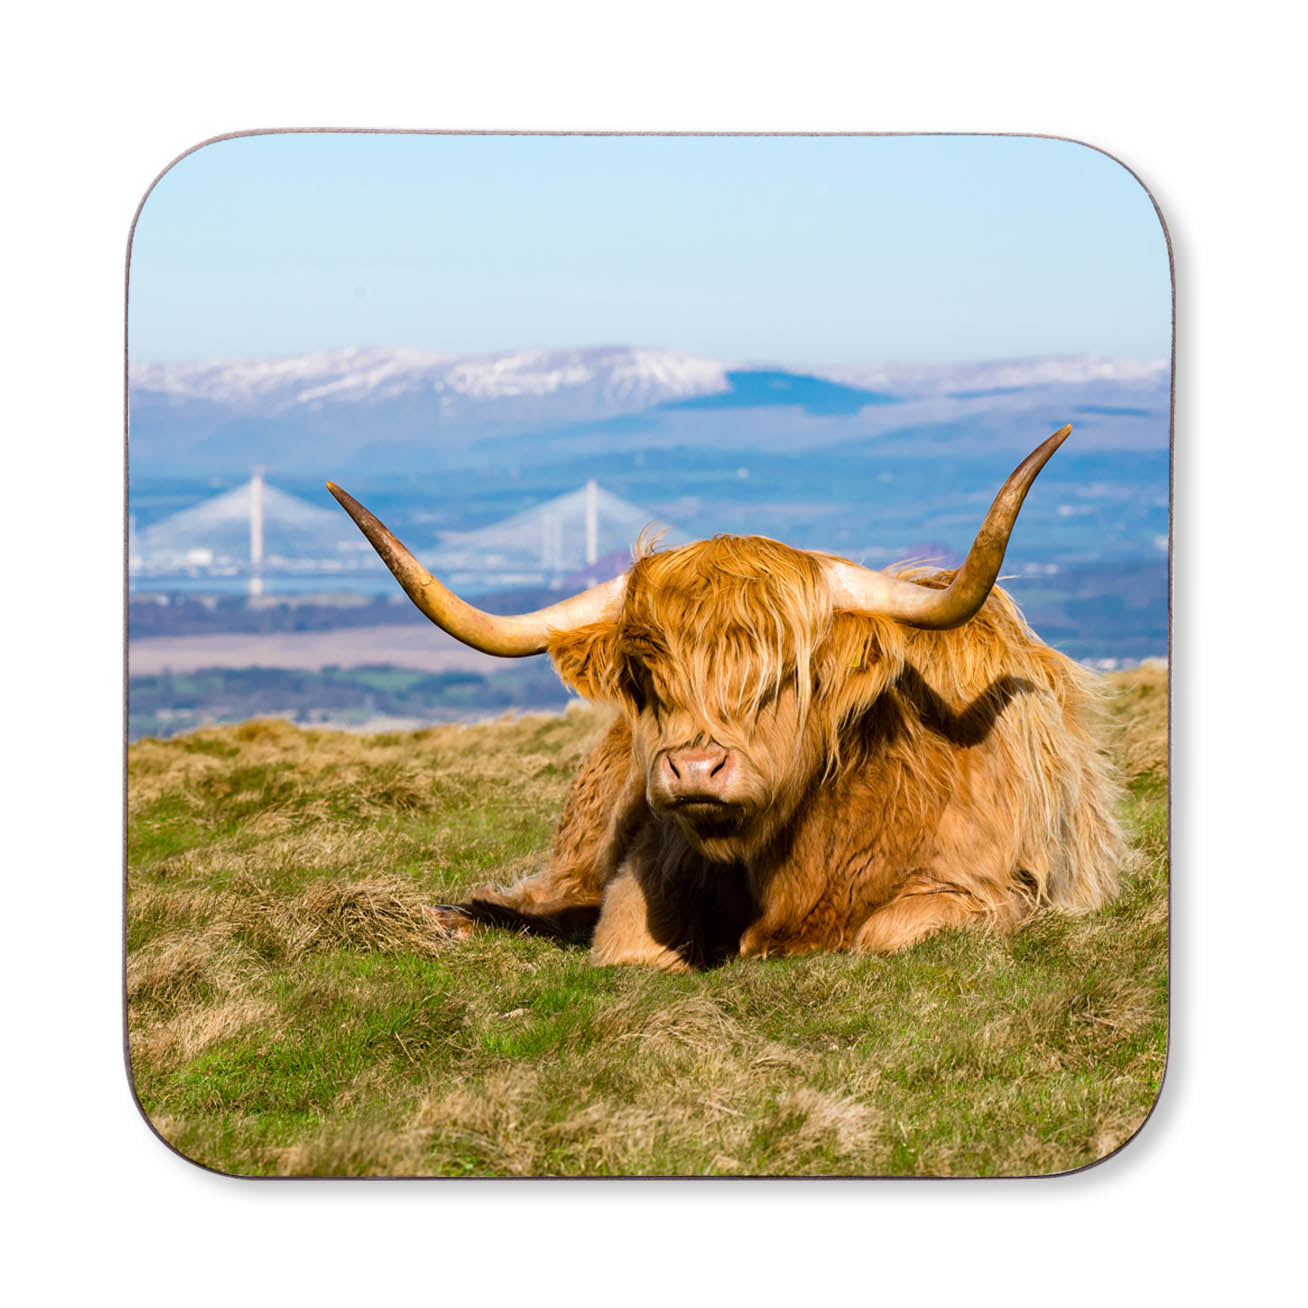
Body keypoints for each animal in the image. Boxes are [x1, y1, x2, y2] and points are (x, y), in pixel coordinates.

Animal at [327, 425, 1122, 971]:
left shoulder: (995, 888)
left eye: (784, 676)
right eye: (647, 679)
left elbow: (884, 930)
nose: (694, 770)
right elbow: (627, 946)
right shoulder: (641, 875)